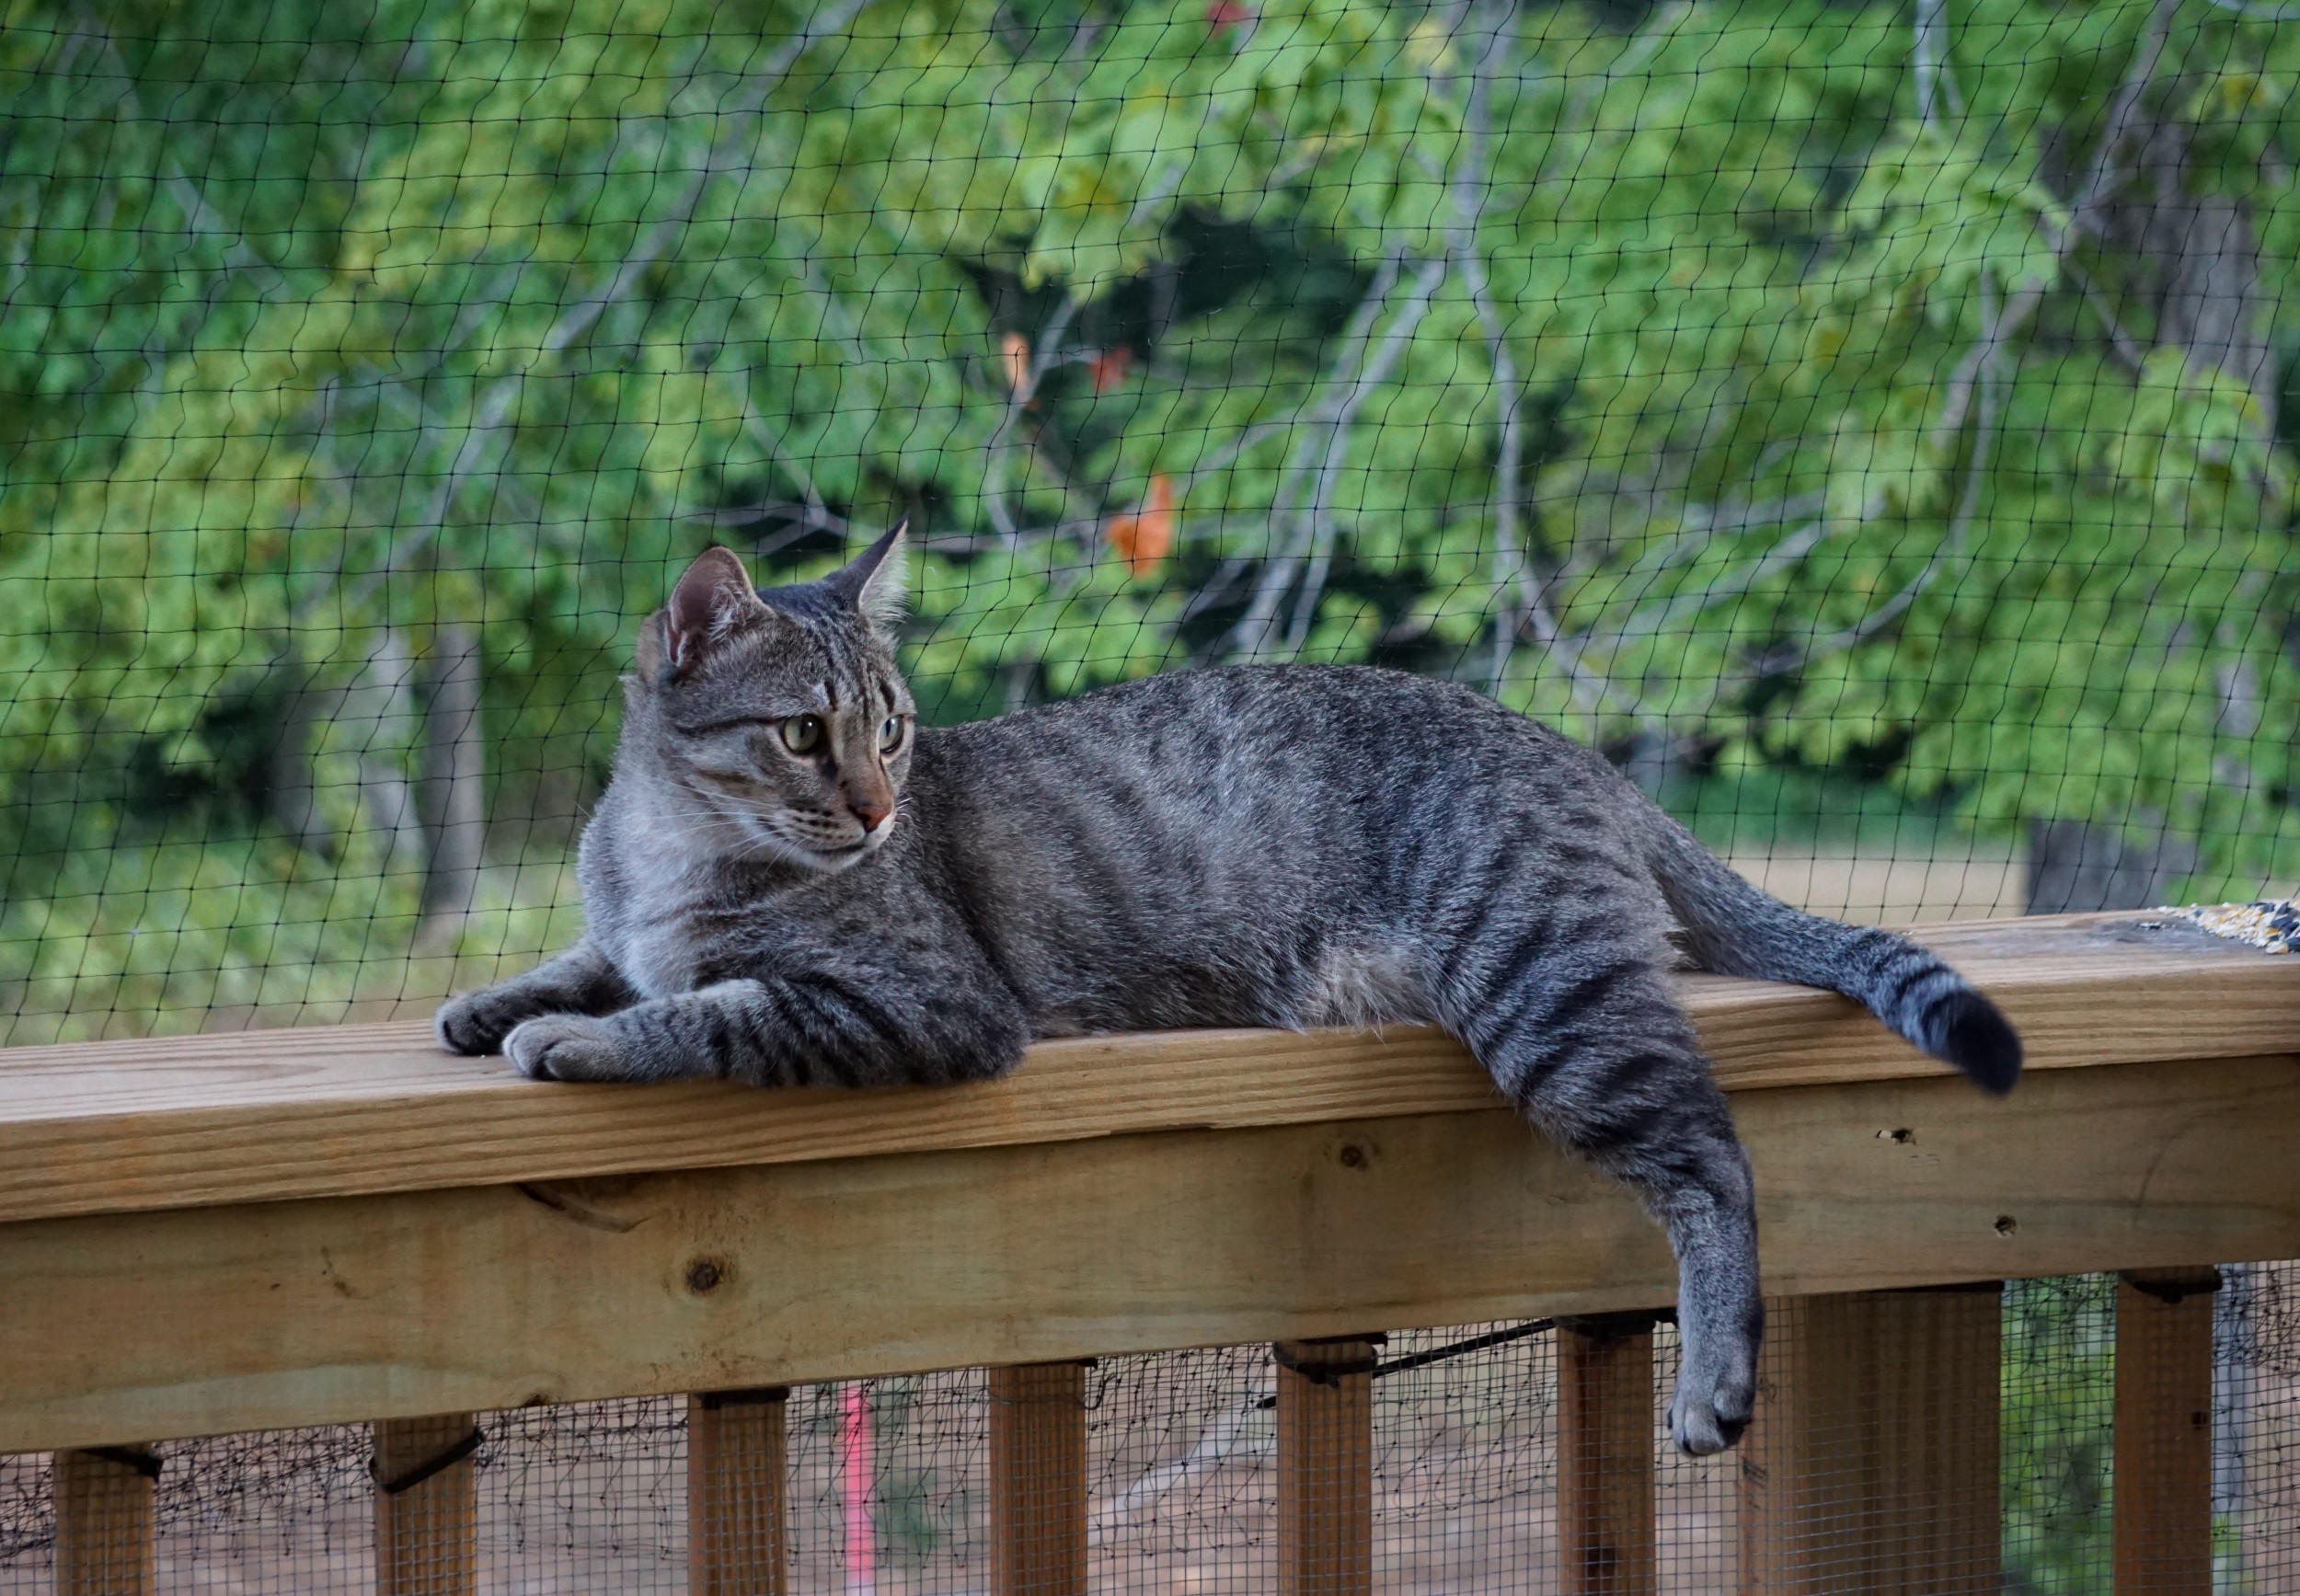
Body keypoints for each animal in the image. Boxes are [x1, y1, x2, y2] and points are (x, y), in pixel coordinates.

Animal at [439, 531, 2024, 1453]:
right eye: (804, 732)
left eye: (891, 729)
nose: (881, 809)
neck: (668, 844)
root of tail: (1573, 749)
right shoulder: (636, 919)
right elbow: (601, 951)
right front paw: (490, 1000)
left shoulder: (923, 1000)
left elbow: (704, 1002)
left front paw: (573, 1035)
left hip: (1552, 997)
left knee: (1715, 1163)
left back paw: (1715, 1377)